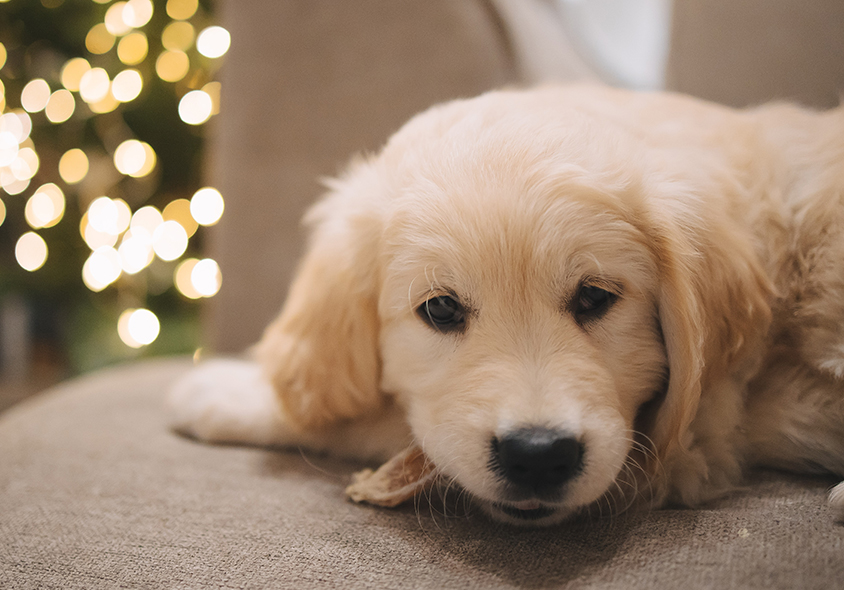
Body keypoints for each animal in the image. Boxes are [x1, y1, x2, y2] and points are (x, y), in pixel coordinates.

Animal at [170, 84, 844, 528]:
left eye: (594, 297)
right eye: (441, 310)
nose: (538, 455)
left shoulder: (693, 439)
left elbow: (374, 422)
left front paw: (225, 390)